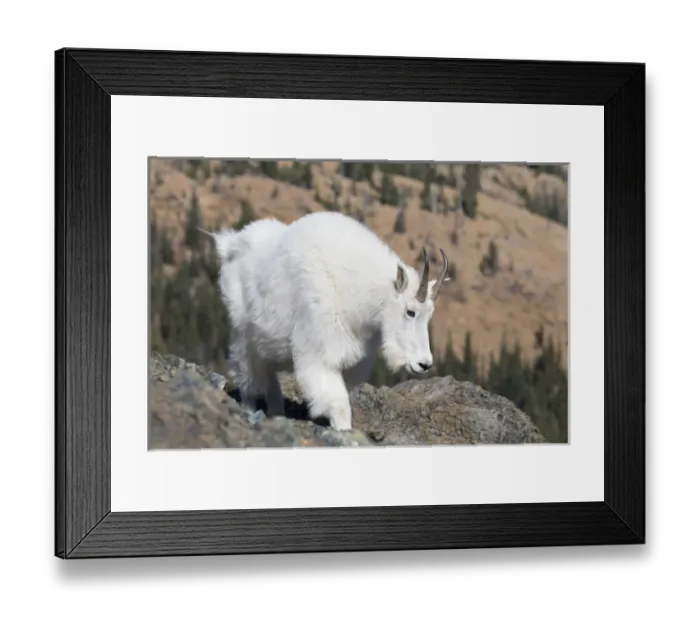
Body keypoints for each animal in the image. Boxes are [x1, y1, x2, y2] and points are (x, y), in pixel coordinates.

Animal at [201, 211, 449, 431]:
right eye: (410, 312)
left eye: (430, 314)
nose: (424, 364)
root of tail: (231, 243)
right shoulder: (320, 354)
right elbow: (339, 406)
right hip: (243, 332)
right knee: (247, 372)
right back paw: (250, 409)